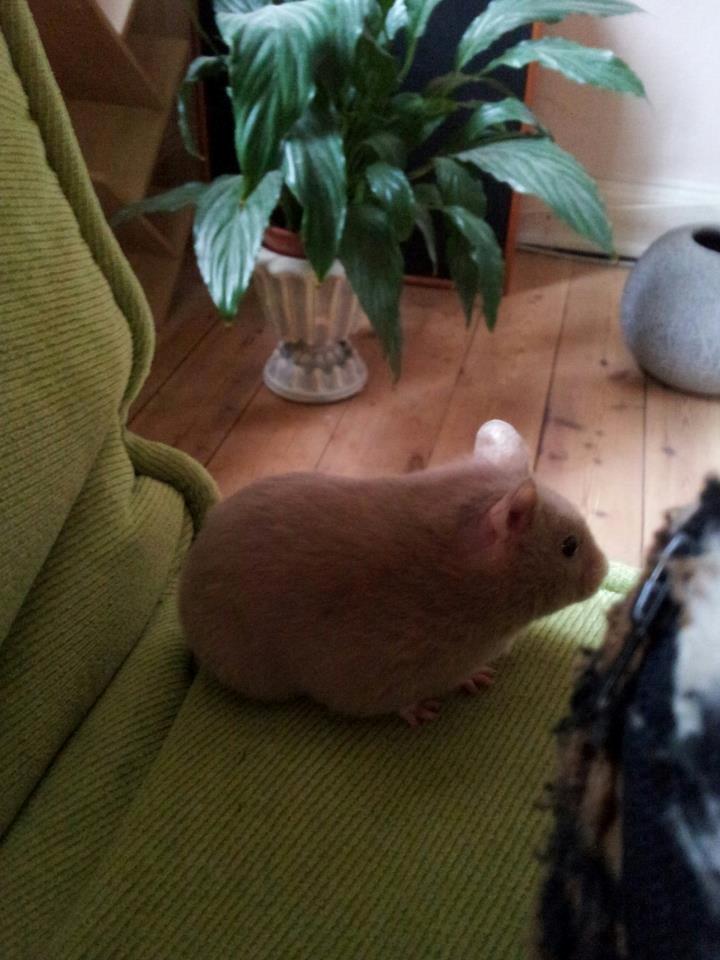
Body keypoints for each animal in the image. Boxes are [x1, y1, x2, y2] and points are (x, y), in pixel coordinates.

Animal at [179, 420, 608, 726]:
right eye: (569, 546)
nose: (604, 574)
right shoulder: (367, 677)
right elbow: (401, 702)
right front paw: (424, 710)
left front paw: (477, 678)